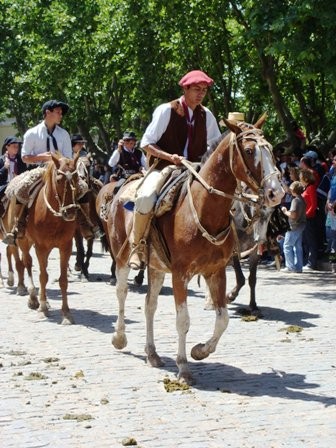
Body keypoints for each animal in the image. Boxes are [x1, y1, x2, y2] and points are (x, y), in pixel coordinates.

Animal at [17, 152, 82, 324]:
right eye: (59, 180)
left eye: (76, 178)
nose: (70, 212)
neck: (53, 216)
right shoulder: (41, 247)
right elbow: (43, 277)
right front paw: (42, 309)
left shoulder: (66, 247)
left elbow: (63, 280)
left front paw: (66, 313)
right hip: (24, 241)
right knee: (27, 263)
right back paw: (34, 298)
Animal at [107, 117, 284, 384]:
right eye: (249, 150)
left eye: (271, 149)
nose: (277, 192)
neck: (203, 211)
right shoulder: (180, 275)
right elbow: (183, 320)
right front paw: (183, 368)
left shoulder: (216, 272)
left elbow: (223, 319)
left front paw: (200, 351)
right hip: (122, 257)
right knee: (121, 292)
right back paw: (119, 337)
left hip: (157, 268)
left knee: (150, 305)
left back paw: (152, 354)